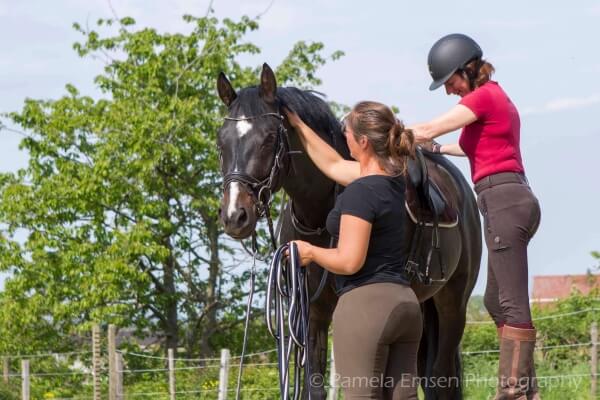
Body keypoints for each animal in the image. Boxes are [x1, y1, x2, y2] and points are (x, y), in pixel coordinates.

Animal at [217, 64, 482, 398]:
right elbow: (314, 386)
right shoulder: (312, 313)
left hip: (453, 304)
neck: (319, 217)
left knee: (440, 373)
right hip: (423, 305)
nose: (234, 215)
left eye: (268, 138)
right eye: (221, 141)